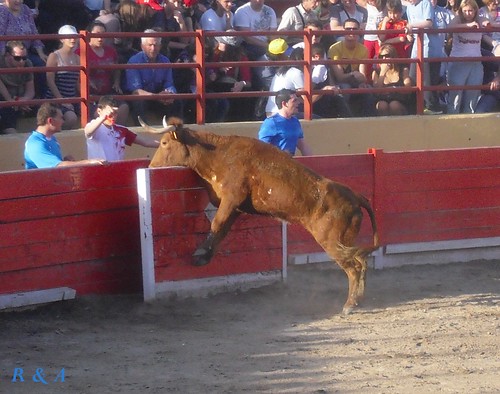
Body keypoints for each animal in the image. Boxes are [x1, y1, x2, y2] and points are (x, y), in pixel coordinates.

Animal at [146, 117, 378, 314]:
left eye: (164, 142)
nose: (150, 166)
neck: (219, 154)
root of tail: (356, 196)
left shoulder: (232, 198)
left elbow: (217, 223)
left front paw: (199, 253)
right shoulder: (235, 207)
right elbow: (222, 228)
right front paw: (204, 256)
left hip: (330, 241)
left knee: (354, 267)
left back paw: (349, 305)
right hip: (345, 239)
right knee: (362, 260)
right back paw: (359, 300)